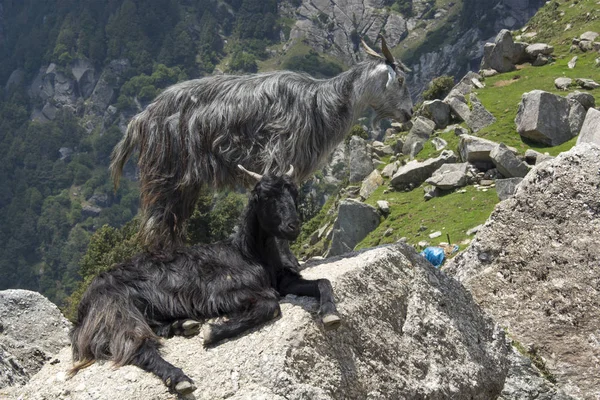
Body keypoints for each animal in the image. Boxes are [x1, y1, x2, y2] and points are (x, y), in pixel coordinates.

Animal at [69, 166, 340, 394]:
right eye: (265, 196)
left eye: (293, 192)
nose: (292, 227)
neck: (248, 253)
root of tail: (84, 305)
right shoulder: (222, 292)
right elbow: (270, 305)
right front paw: (214, 332)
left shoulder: (283, 281)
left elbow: (322, 281)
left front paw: (330, 313)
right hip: (118, 310)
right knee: (137, 345)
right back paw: (179, 378)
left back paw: (184, 325)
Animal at [111, 36, 412, 248]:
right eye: (400, 79)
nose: (408, 113)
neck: (319, 104)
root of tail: (141, 119)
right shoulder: (279, 155)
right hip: (165, 172)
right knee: (155, 222)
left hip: (184, 182)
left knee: (171, 220)